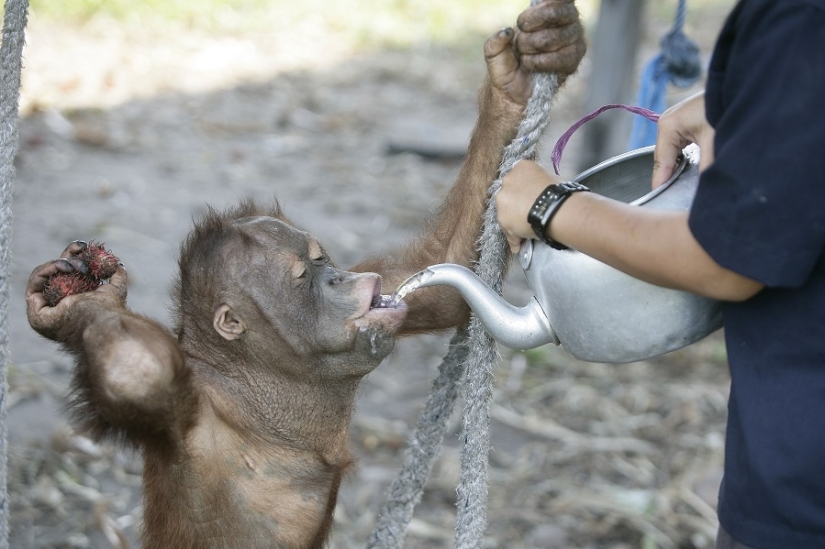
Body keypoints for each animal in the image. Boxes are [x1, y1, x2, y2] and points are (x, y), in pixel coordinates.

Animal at [25, 8, 585, 548]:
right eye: (301, 276)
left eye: (322, 260)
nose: (337, 279)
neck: (263, 393)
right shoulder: (185, 417)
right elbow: (135, 372)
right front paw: (83, 304)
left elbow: (450, 270)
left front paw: (529, 63)